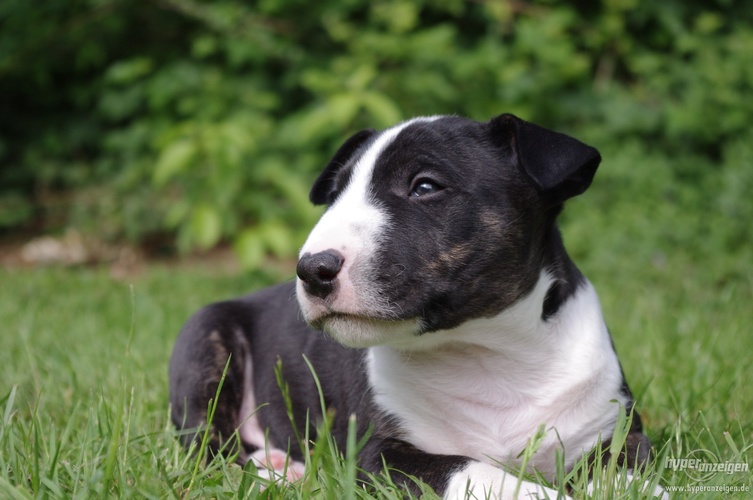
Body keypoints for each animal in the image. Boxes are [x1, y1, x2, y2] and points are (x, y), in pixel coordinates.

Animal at [169, 113, 656, 496]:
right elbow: (476, 471)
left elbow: (636, 481)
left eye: (424, 186)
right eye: (333, 196)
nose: (311, 268)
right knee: (207, 447)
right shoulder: (379, 456)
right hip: (206, 341)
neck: (488, 355)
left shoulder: (618, 436)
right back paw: (275, 470)